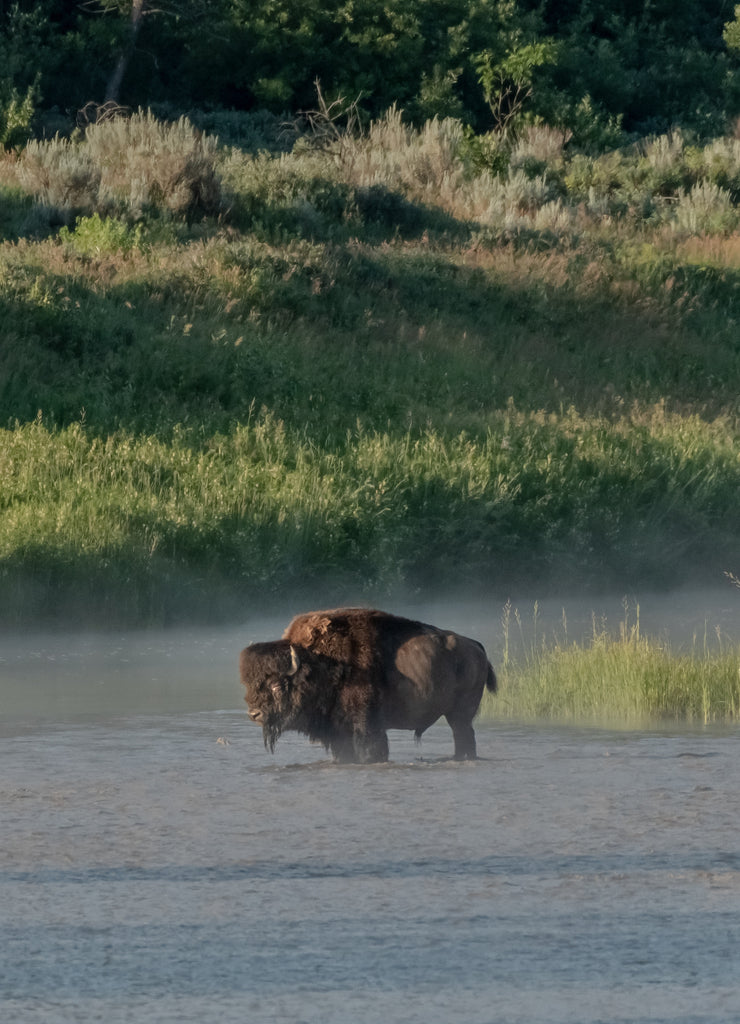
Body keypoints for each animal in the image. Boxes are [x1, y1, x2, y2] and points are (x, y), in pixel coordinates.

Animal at [239, 607, 496, 763]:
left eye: (277, 685)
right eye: (249, 685)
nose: (254, 714)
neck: (321, 664)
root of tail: (476, 646)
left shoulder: (367, 726)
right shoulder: (338, 732)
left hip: (460, 716)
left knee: (464, 736)